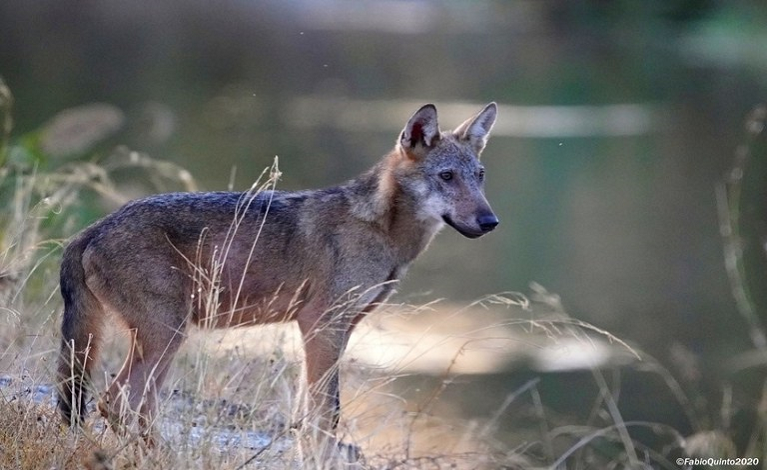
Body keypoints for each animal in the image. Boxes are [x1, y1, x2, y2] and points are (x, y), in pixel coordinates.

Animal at [56, 102, 498, 461]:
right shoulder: (322, 325)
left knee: (133, 407)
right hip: (167, 337)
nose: (490, 221)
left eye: (479, 177)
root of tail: (89, 231)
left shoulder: (335, 329)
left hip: (164, 344)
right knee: (115, 403)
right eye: (446, 176)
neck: (380, 231)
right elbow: (327, 413)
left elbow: (309, 414)